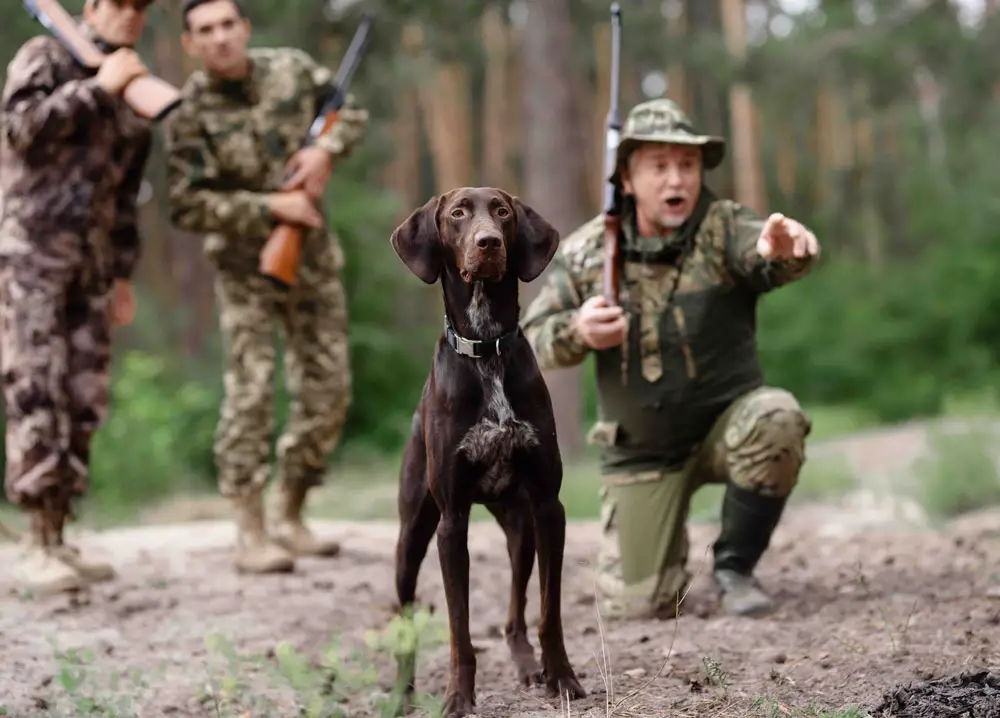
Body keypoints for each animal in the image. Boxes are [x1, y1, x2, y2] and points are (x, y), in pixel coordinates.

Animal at [384, 188, 584, 716]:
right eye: (457, 214)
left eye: (502, 212)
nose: (488, 243)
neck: (487, 345)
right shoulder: (451, 522)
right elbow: (460, 629)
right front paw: (458, 695)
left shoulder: (548, 507)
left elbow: (549, 612)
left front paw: (562, 677)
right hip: (411, 537)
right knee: (404, 616)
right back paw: (402, 691)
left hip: (521, 525)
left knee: (515, 614)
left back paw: (527, 664)